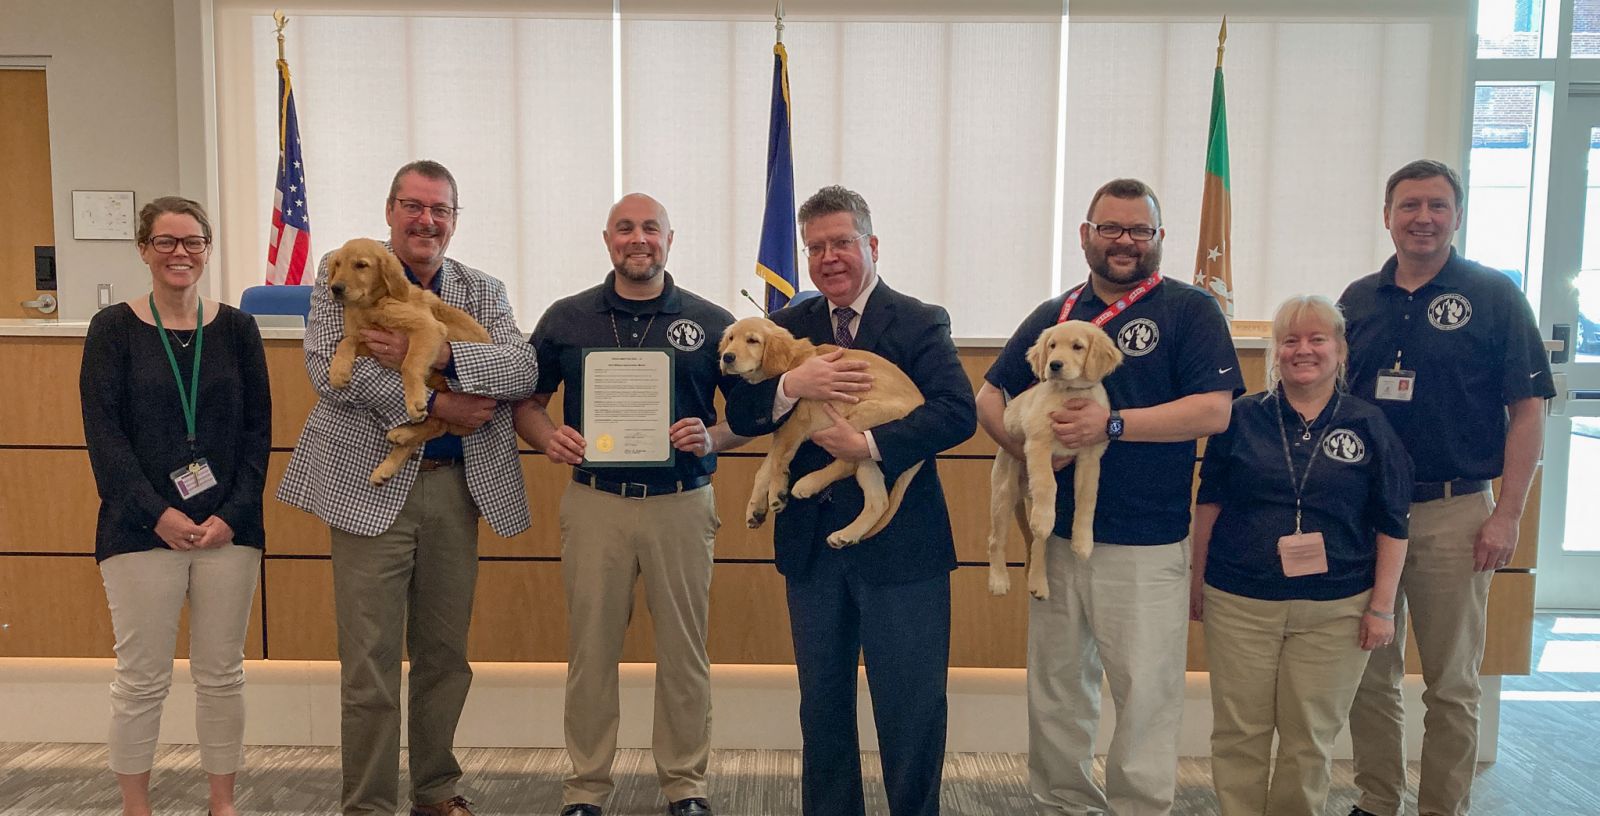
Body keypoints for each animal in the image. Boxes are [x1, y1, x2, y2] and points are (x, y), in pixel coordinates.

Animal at [985, 320, 1126, 598]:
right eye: (1052, 346)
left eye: (1077, 347)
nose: (1054, 365)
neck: (1070, 393)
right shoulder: (1038, 443)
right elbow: (1047, 484)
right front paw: (1043, 519)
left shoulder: (1090, 458)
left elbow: (1087, 499)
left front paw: (1083, 541)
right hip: (1003, 493)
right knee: (996, 539)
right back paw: (998, 580)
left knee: (1038, 544)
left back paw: (1038, 582)